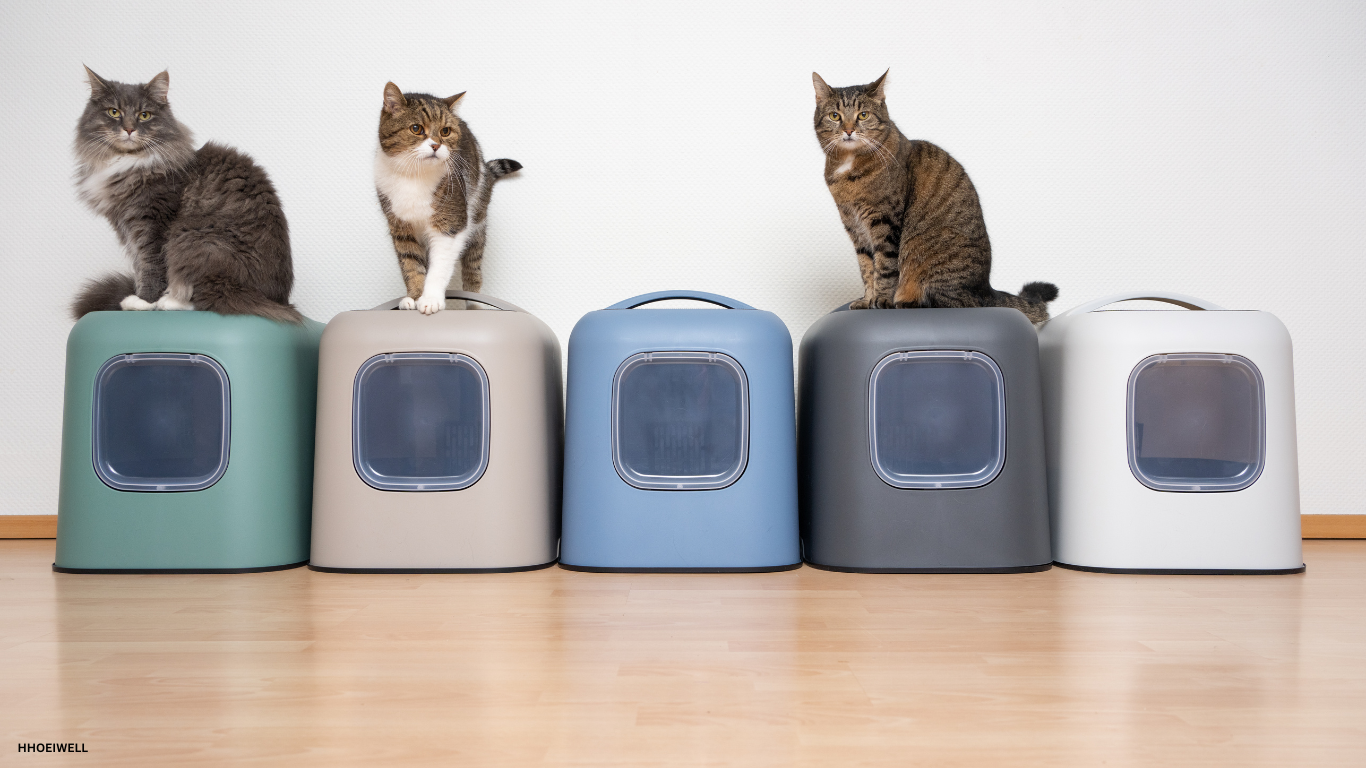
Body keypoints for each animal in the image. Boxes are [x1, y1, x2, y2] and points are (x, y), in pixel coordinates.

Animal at [72, 67, 301, 323]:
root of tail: (279, 299)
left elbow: (151, 265)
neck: (129, 162)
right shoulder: (127, 227)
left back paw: (168, 301)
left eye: (144, 115)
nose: (129, 129)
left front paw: (144, 301)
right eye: (114, 112)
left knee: (209, 298)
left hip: (193, 237)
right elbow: (139, 265)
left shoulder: (153, 222)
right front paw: (140, 297)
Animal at [377, 82, 519, 312]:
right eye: (416, 128)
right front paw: (414, 297)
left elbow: (440, 265)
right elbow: (410, 263)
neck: (414, 176)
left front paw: (430, 300)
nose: (436, 145)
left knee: (473, 269)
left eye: (445, 131)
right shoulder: (401, 227)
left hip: (477, 219)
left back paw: (474, 305)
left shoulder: (451, 224)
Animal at [808, 65, 1054, 317]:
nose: (848, 130)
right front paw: (867, 300)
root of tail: (986, 289)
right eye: (835, 116)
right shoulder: (855, 227)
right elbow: (867, 268)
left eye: (863, 115)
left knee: (955, 303)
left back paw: (906, 302)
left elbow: (885, 268)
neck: (849, 167)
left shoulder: (885, 223)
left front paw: (881, 300)